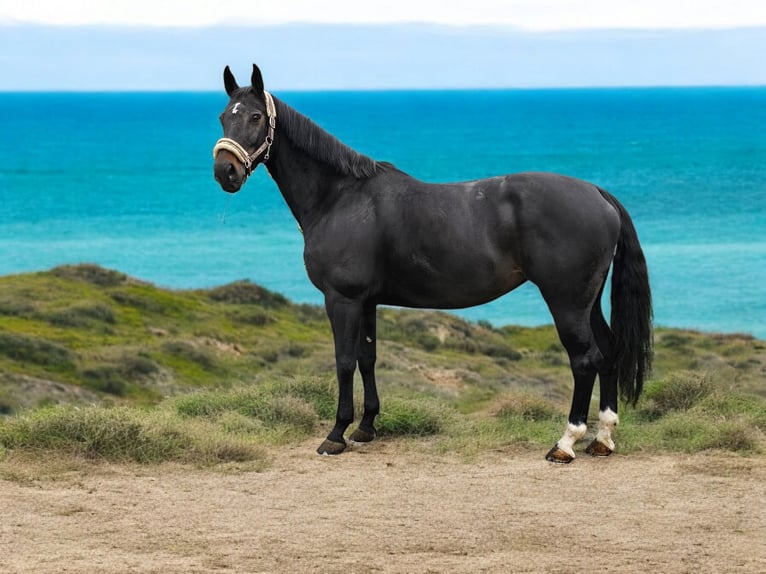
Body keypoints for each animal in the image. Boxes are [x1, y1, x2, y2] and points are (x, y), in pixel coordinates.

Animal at [213, 65, 652, 466]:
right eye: (222, 116)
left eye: (255, 117)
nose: (225, 172)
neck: (341, 197)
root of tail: (597, 193)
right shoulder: (367, 301)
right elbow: (367, 358)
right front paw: (366, 428)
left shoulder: (342, 299)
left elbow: (343, 362)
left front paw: (335, 434)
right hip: (587, 301)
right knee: (608, 352)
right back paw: (602, 439)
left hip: (566, 302)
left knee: (585, 359)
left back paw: (565, 443)